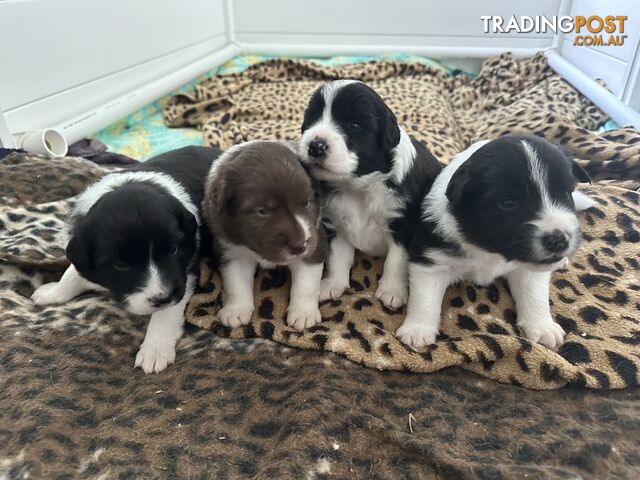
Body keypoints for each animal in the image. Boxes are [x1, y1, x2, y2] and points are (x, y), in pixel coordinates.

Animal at [31, 146, 218, 376]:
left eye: (173, 250)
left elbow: (167, 312)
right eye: (120, 265)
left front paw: (155, 350)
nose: (162, 297)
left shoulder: (186, 269)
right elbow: (72, 272)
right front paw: (53, 292)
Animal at [204, 141, 328, 332]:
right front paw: (236, 310)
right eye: (262, 211)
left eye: (306, 203)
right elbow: (236, 282)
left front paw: (303, 313)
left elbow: (306, 283)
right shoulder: (231, 250)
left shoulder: (315, 243)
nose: (299, 246)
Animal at [298, 79, 440, 308]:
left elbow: (395, 262)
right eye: (312, 120)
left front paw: (392, 291)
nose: (315, 146)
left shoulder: (402, 227)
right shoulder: (337, 224)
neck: (358, 188)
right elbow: (338, 258)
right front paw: (332, 284)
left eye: (355, 125)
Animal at [400, 135, 596, 348]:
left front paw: (543, 327)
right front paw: (417, 330)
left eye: (566, 193)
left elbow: (535, 294)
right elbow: (424, 297)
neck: (489, 250)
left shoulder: (529, 269)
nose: (559, 240)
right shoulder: (431, 259)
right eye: (507, 203)